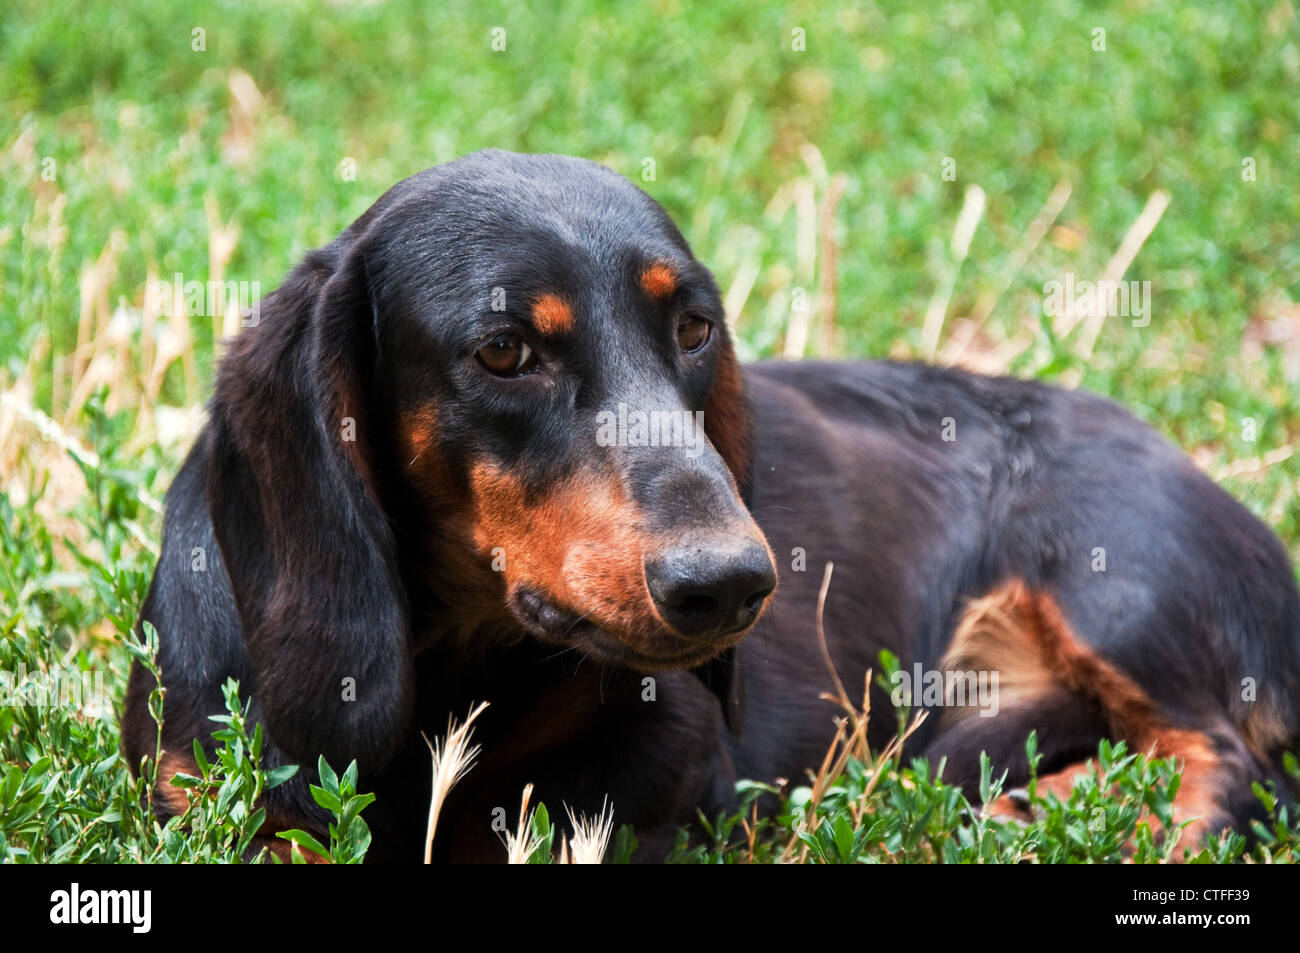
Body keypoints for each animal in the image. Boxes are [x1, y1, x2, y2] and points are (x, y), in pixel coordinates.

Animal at [122, 148, 1300, 863]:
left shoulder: (655, 788)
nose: (731, 586)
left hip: (1119, 582)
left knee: (1226, 766)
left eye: (693, 329)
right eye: (503, 351)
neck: (455, 664)